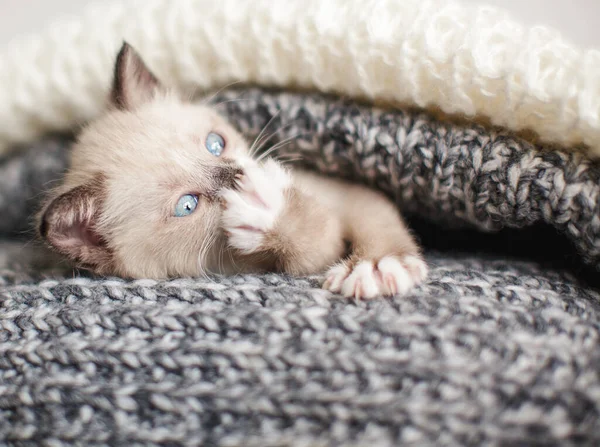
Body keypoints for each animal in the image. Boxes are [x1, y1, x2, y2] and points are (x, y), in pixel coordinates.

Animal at [37, 43, 428, 300]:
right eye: (188, 205)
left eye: (215, 144)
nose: (238, 177)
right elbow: (312, 244)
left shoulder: (342, 192)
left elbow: (373, 221)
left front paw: (377, 266)